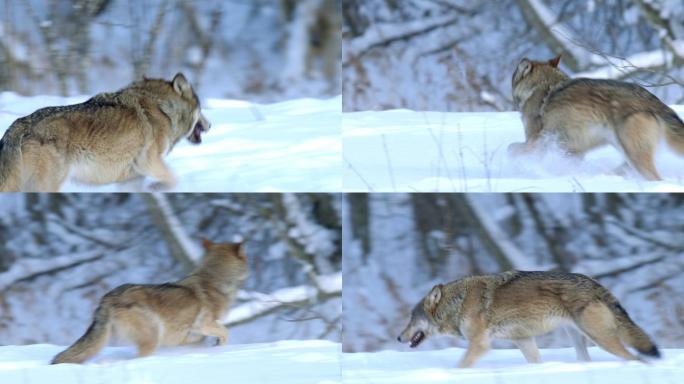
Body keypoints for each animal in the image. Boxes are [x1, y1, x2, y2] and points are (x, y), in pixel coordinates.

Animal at [0, 72, 210, 192]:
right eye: (201, 110)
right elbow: (174, 179)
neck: (163, 108)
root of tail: (19, 124)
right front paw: (158, 187)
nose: (210, 125)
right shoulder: (148, 162)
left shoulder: (131, 180)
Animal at [51, 238, 248, 364]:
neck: (215, 279)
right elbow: (225, 332)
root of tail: (108, 297)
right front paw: (220, 347)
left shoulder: (191, 336)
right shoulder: (203, 324)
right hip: (153, 336)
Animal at [398, 272, 660, 368]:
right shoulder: (523, 340)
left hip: (601, 339)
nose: (398, 337)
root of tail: (594, 283)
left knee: (635, 357)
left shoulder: (480, 344)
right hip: (579, 338)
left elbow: (461, 365)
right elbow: (536, 361)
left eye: (411, 319)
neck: (458, 303)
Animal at [508, 54, 684, 182]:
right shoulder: (572, 151)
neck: (541, 86)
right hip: (627, 153)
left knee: (655, 178)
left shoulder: (535, 142)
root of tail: (655, 101)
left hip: (634, 155)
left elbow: (511, 148)